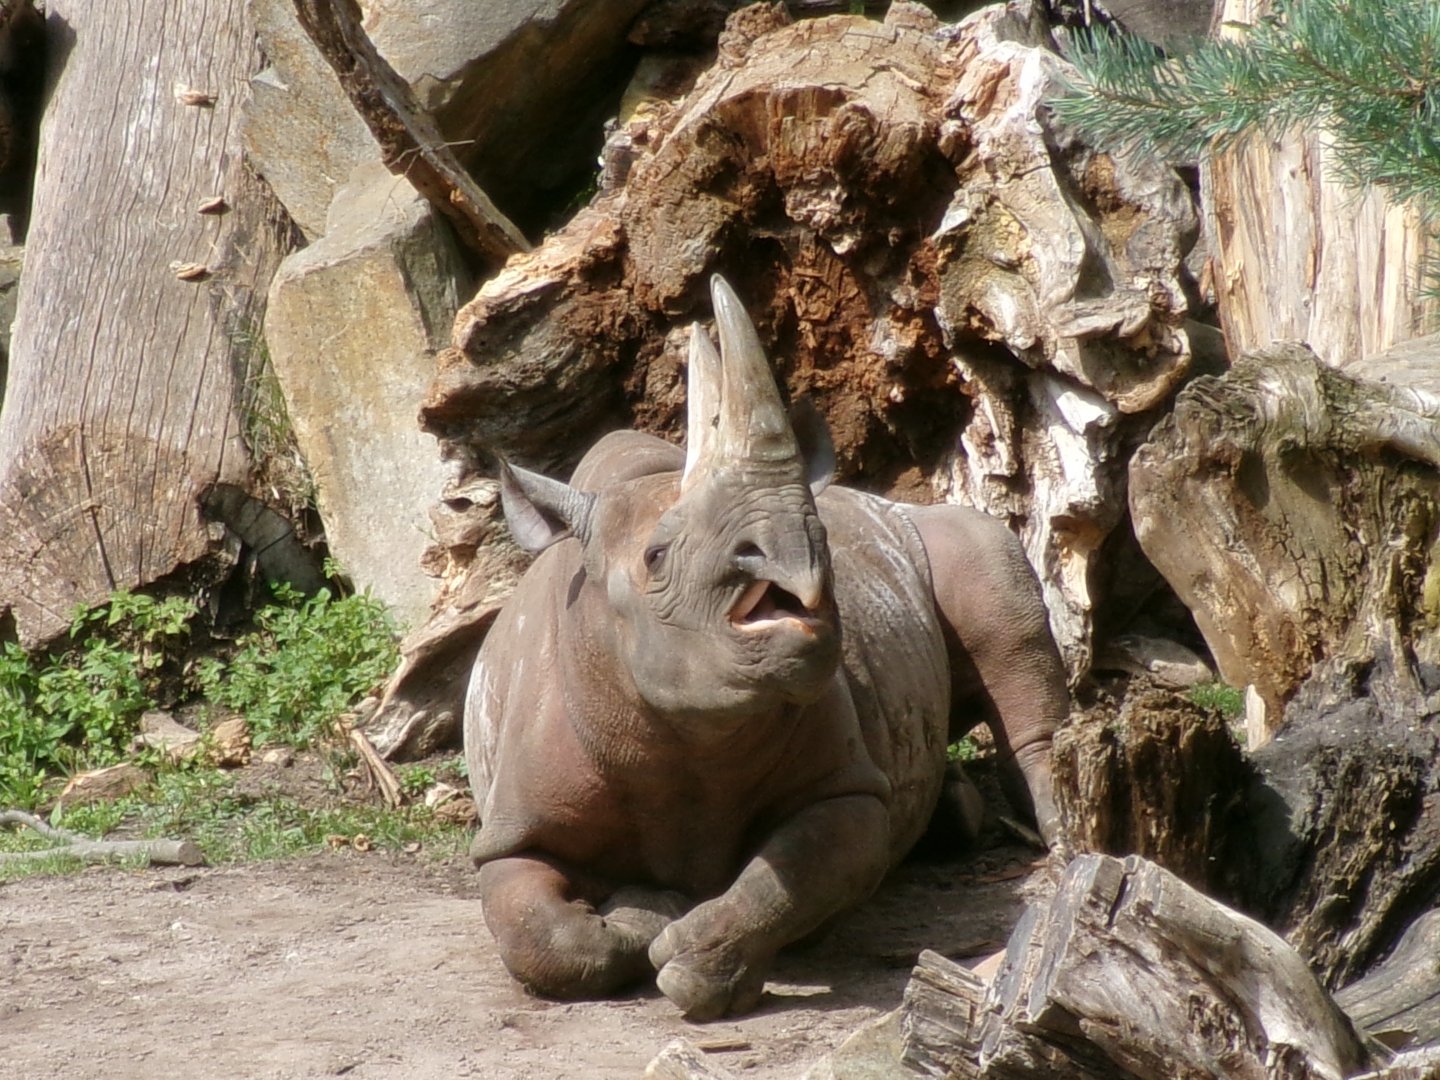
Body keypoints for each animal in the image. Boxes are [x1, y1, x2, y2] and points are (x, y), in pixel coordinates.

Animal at [464, 275, 1066, 1020]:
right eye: (656, 557)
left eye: (822, 539)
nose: (796, 547)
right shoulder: (511, 826)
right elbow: (541, 935)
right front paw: (638, 916)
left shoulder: (846, 789)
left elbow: (792, 878)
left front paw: (689, 960)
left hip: (930, 533)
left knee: (994, 575)